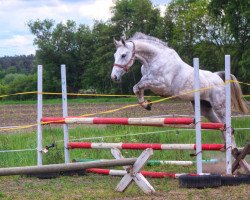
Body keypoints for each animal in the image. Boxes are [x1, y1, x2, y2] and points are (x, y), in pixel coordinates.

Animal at [111, 31, 248, 147]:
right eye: (115, 55)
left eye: (123, 55)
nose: (114, 77)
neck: (154, 59)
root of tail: (218, 77)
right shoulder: (148, 80)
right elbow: (138, 88)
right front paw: (146, 104)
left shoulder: (161, 85)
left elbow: (138, 86)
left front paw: (146, 104)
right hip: (206, 108)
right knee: (221, 127)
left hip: (220, 107)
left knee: (228, 127)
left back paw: (233, 149)